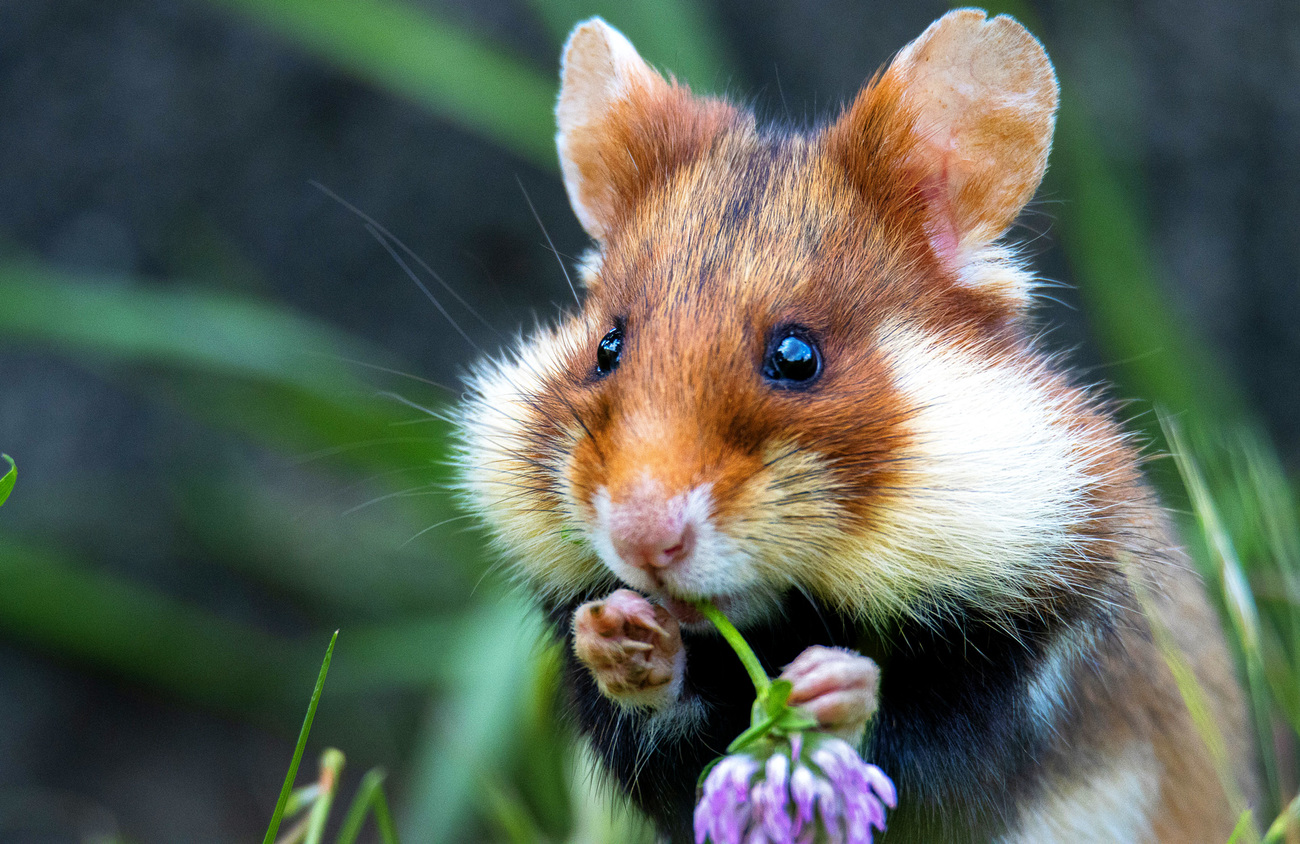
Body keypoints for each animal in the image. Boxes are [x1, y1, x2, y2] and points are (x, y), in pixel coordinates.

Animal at [460, 8, 1258, 842]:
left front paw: (827, 687)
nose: (642, 541)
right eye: (606, 347)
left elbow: (912, 737)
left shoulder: (1028, 671)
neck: (790, 612)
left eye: (797, 355)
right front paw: (619, 638)